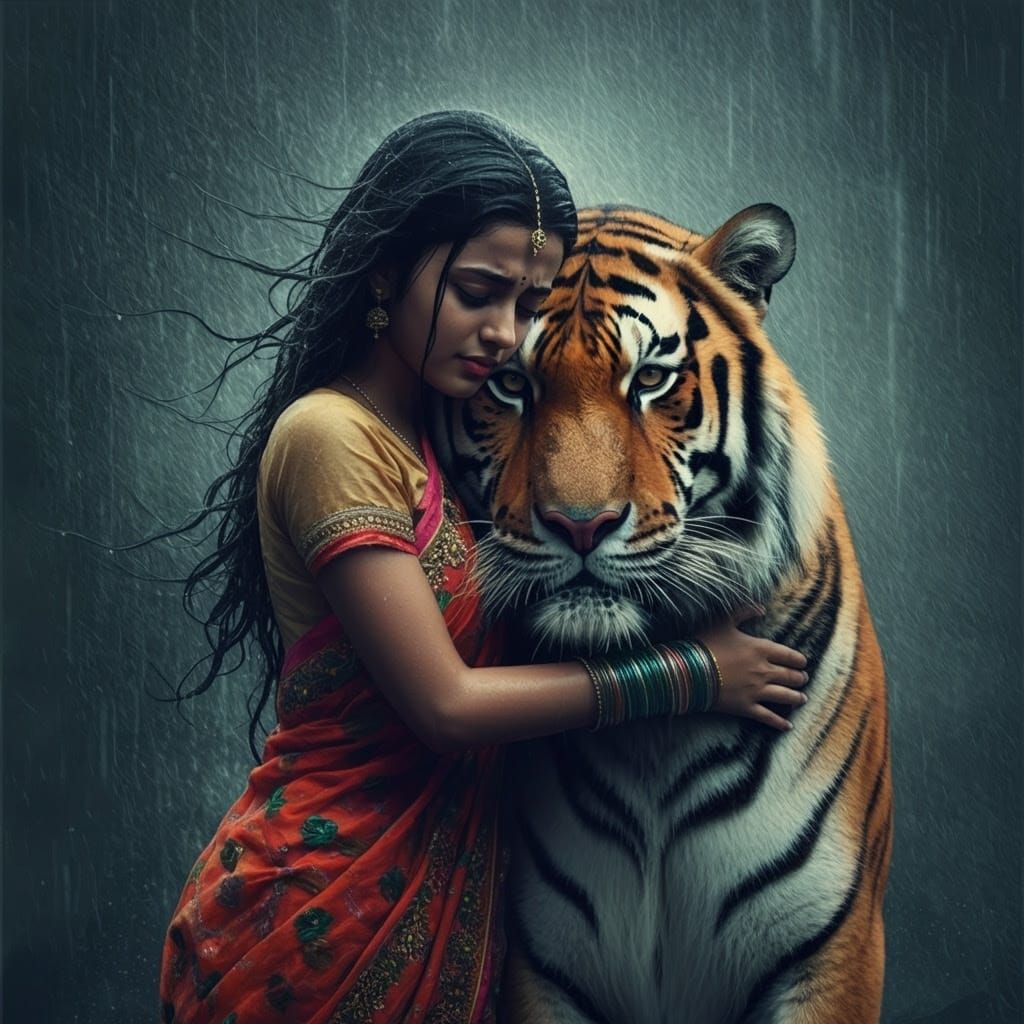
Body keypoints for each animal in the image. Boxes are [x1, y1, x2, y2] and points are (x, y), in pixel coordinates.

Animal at [437, 205, 893, 1023]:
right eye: (509, 383)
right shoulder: (539, 963)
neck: (654, 741)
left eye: (649, 379)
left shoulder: (832, 944)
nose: (580, 525)